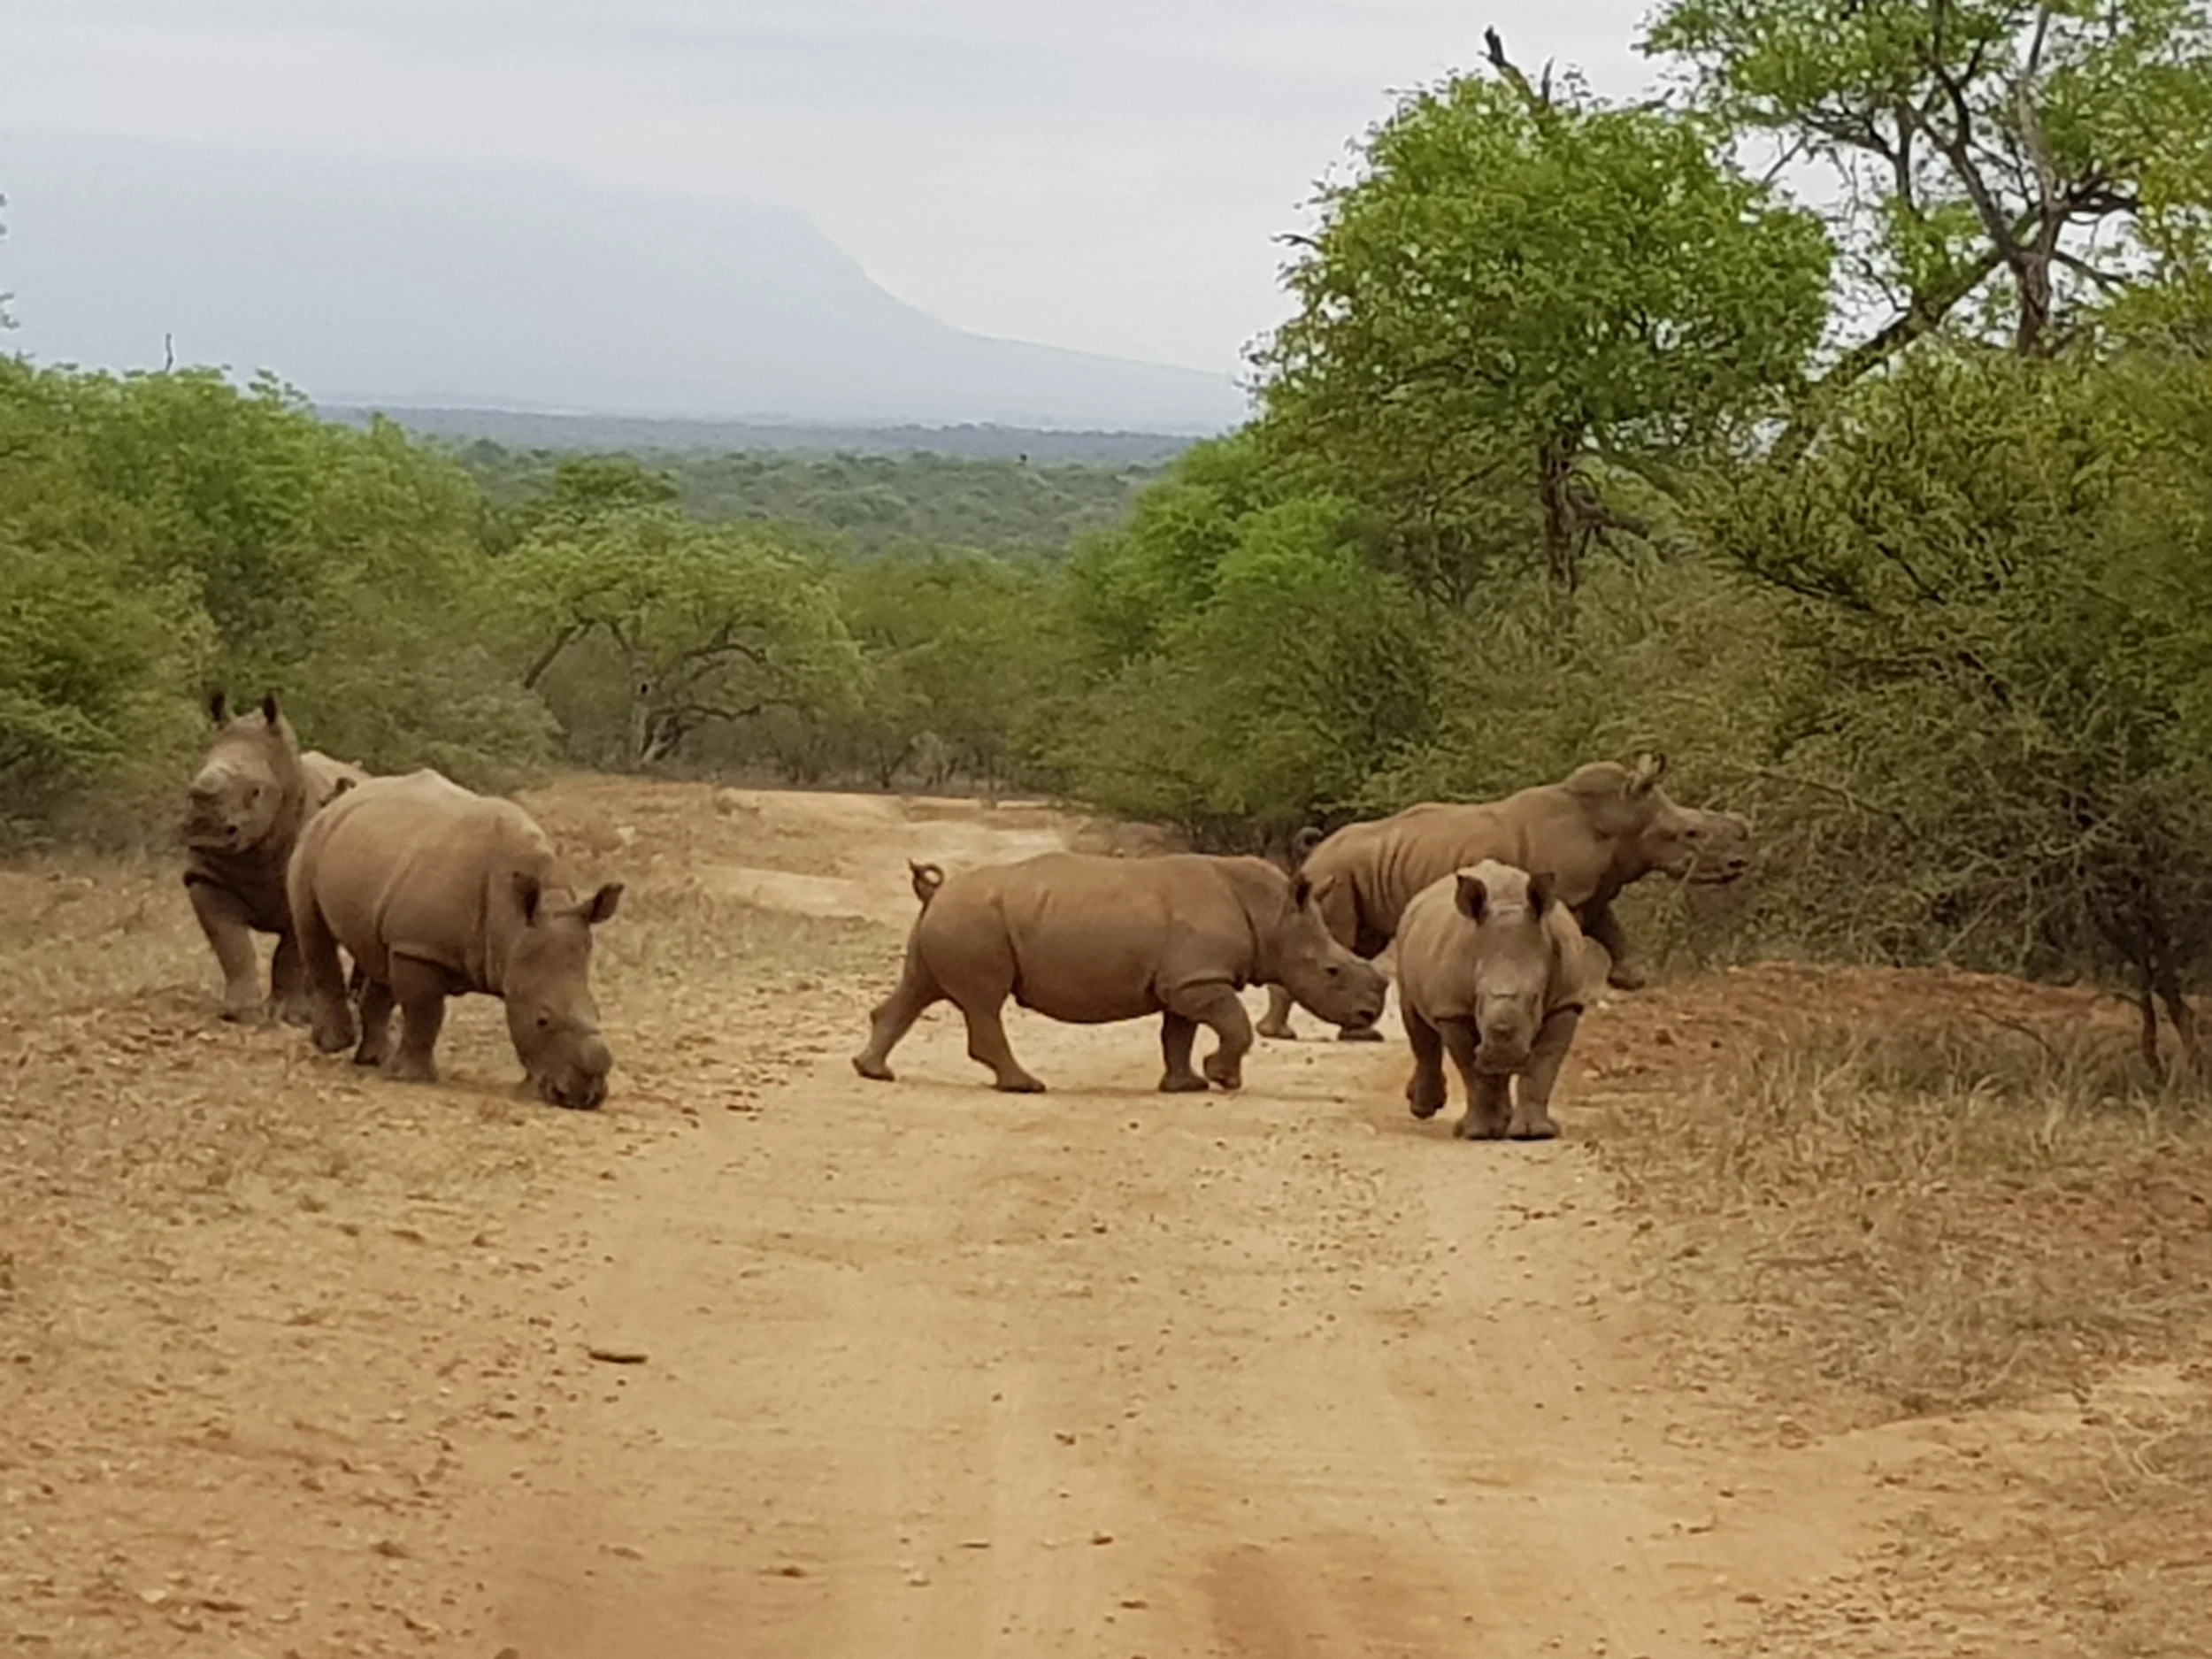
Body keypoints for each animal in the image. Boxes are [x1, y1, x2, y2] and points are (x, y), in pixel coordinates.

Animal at [182, 689, 371, 1023]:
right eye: (193, 786)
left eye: (256, 792)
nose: (205, 830)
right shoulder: (205, 877)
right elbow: (231, 943)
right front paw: (241, 1013)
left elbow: (290, 955)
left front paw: (290, 1015)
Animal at [288, 769, 624, 1110]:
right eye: (542, 1020)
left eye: (598, 1013)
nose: (584, 1098)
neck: (513, 926)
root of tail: (339, 802)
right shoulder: (420, 947)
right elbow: (426, 1012)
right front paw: (413, 1078)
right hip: (312, 838)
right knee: (312, 928)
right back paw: (334, 1045)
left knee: (378, 956)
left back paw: (374, 1059)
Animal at [853, 851, 1389, 1094]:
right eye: (1332, 971)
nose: (1369, 1013)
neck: (1274, 916)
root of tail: (935, 892)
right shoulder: (1199, 979)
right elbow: (1234, 1026)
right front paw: (1223, 1079)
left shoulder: (1186, 981)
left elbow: (1178, 1035)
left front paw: (1187, 1085)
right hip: (974, 920)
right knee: (984, 1002)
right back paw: (1026, 1085)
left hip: (955, 918)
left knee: (918, 988)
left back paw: (873, 1071)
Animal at [1258, 753, 1750, 1042]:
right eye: (1689, 834)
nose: (1739, 863)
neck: (1615, 820)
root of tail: (1316, 852)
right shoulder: (1567, 892)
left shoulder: (1590, 892)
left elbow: (1612, 927)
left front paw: (1632, 981)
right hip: (1337, 874)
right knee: (1336, 938)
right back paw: (1291, 1035)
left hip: (1354, 872)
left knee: (1359, 943)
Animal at [1394, 859, 1610, 1141]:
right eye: (1477, 998)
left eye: (1535, 998)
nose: (1500, 1051)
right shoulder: (1453, 1009)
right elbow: (1471, 1070)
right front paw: (1478, 1133)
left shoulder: (1567, 1002)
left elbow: (1543, 1066)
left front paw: (1534, 1133)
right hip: (1405, 941)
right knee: (1417, 1025)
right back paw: (1425, 1109)